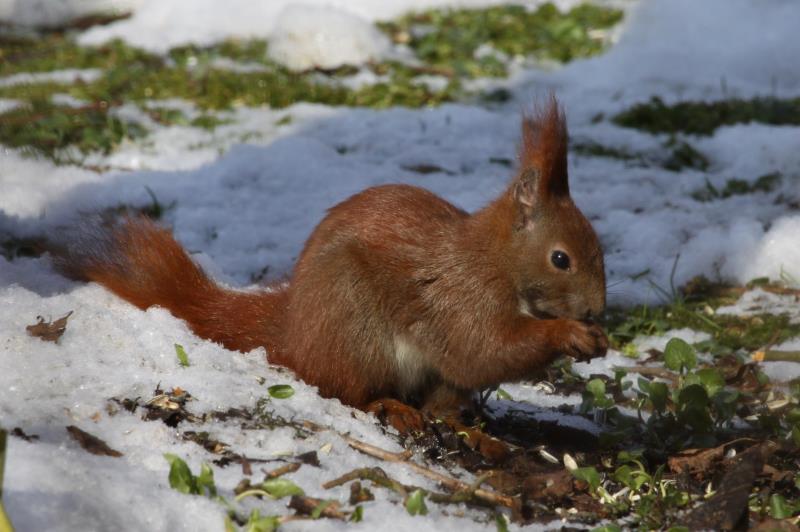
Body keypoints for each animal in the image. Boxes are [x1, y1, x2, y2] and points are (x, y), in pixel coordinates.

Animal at [57, 97, 608, 424]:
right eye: (561, 258)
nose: (596, 311)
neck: (495, 260)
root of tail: (294, 331)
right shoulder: (460, 298)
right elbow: (482, 350)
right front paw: (568, 335)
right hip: (354, 325)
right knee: (343, 390)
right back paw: (386, 405)